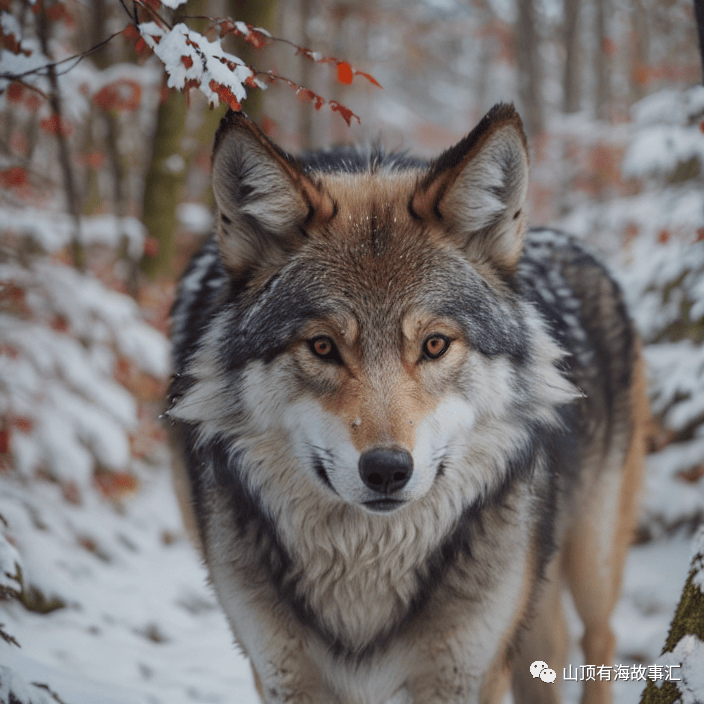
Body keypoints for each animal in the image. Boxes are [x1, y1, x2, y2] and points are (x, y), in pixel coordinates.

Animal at [166, 104, 647, 704]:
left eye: (435, 345)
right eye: (322, 347)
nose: (387, 470)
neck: (366, 573)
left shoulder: (466, 671)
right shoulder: (279, 672)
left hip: (592, 559)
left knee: (600, 639)